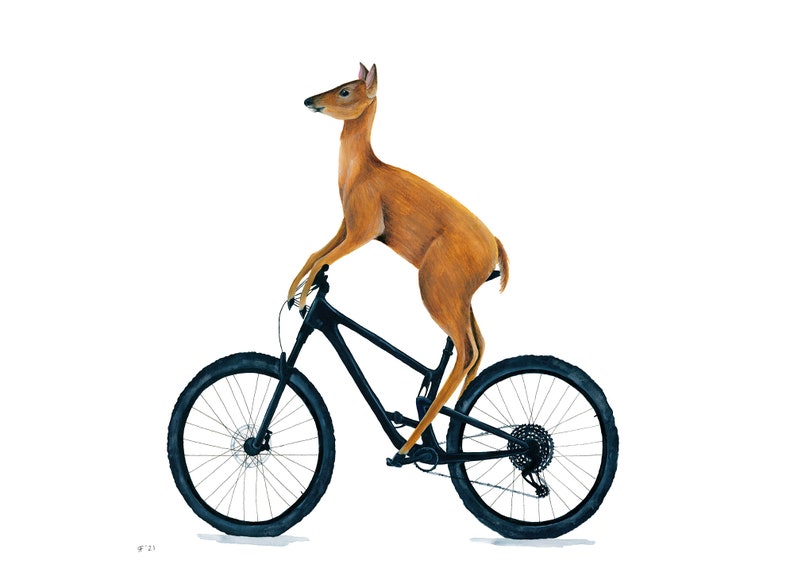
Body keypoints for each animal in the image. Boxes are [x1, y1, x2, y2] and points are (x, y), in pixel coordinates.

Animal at [288, 63, 509, 460]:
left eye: (346, 91)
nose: (309, 100)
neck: (363, 172)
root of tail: (496, 248)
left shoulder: (365, 228)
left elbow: (323, 258)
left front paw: (301, 300)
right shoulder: (346, 225)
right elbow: (316, 254)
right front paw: (294, 292)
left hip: (437, 287)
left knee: (465, 351)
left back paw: (412, 444)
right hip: (460, 297)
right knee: (479, 346)